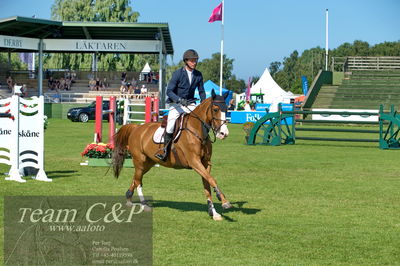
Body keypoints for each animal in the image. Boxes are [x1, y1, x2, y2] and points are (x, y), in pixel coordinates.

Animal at [111, 90, 231, 220]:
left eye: (227, 110)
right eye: (215, 109)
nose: (224, 133)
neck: (197, 131)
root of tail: (136, 127)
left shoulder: (205, 163)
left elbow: (207, 184)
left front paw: (214, 212)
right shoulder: (194, 162)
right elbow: (212, 179)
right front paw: (224, 201)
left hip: (148, 163)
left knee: (136, 178)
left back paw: (129, 198)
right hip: (140, 161)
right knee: (138, 181)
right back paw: (144, 205)